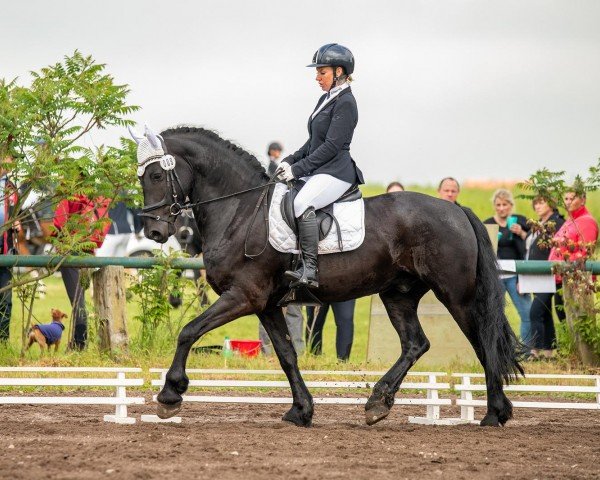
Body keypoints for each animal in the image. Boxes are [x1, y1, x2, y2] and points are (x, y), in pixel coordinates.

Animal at [136, 126, 520, 428]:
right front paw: (301, 410)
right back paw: (378, 403)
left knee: (483, 342)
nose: (154, 231)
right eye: (141, 177)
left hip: (456, 295)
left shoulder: (243, 296)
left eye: (155, 176)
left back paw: (493, 413)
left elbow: (189, 331)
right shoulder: (266, 304)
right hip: (398, 294)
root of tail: (456, 209)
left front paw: (170, 395)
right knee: (415, 344)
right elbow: (286, 355)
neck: (241, 213)